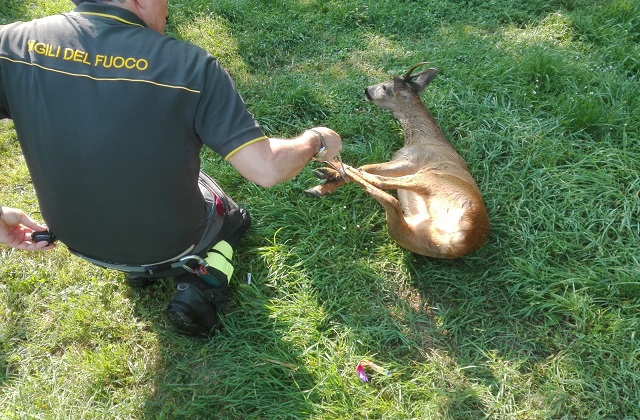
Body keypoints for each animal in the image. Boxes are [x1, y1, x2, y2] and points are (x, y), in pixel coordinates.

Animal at [304, 63, 490, 258]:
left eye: (386, 87)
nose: (367, 90)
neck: (420, 138)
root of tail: (459, 241)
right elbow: (368, 168)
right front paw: (328, 182)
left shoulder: (412, 160)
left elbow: (367, 167)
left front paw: (328, 176)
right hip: (409, 233)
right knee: (389, 201)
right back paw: (321, 182)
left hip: (433, 179)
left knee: (381, 185)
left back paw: (323, 169)